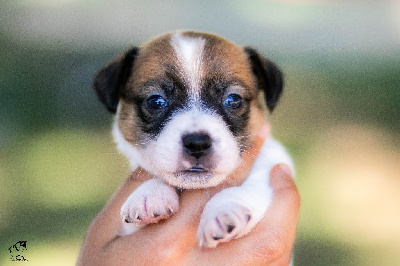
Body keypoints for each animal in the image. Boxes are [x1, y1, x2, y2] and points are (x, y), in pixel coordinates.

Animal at [94, 31, 294, 249]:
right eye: (156, 101)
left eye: (233, 100)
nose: (197, 143)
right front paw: (149, 194)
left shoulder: (273, 162)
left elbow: (253, 182)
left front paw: (224, 211)